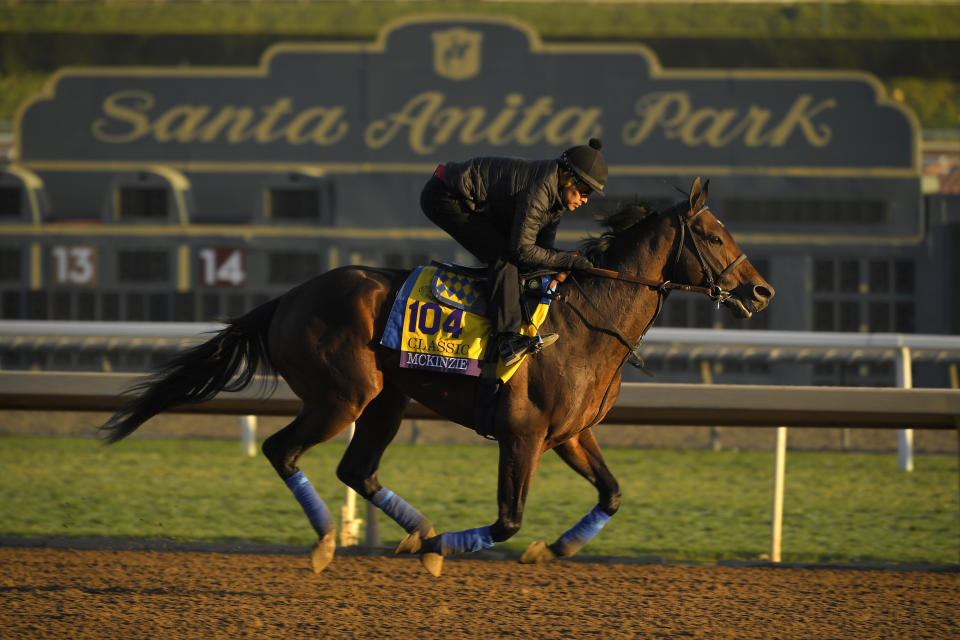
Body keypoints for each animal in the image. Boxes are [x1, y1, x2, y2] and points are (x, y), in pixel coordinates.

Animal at [99, 178, 772, 576]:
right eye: (713, 235)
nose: (760, 292)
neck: (587, 322)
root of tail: (287, 298)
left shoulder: (570, 435)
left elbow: (610, 493)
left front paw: (553, 548)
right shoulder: (522, 435)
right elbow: (507, 520)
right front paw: (451, 548)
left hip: (387, 402)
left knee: (357, 470)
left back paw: (417, 533)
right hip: (343, 397)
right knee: (282, 449)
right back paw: (334, 541)